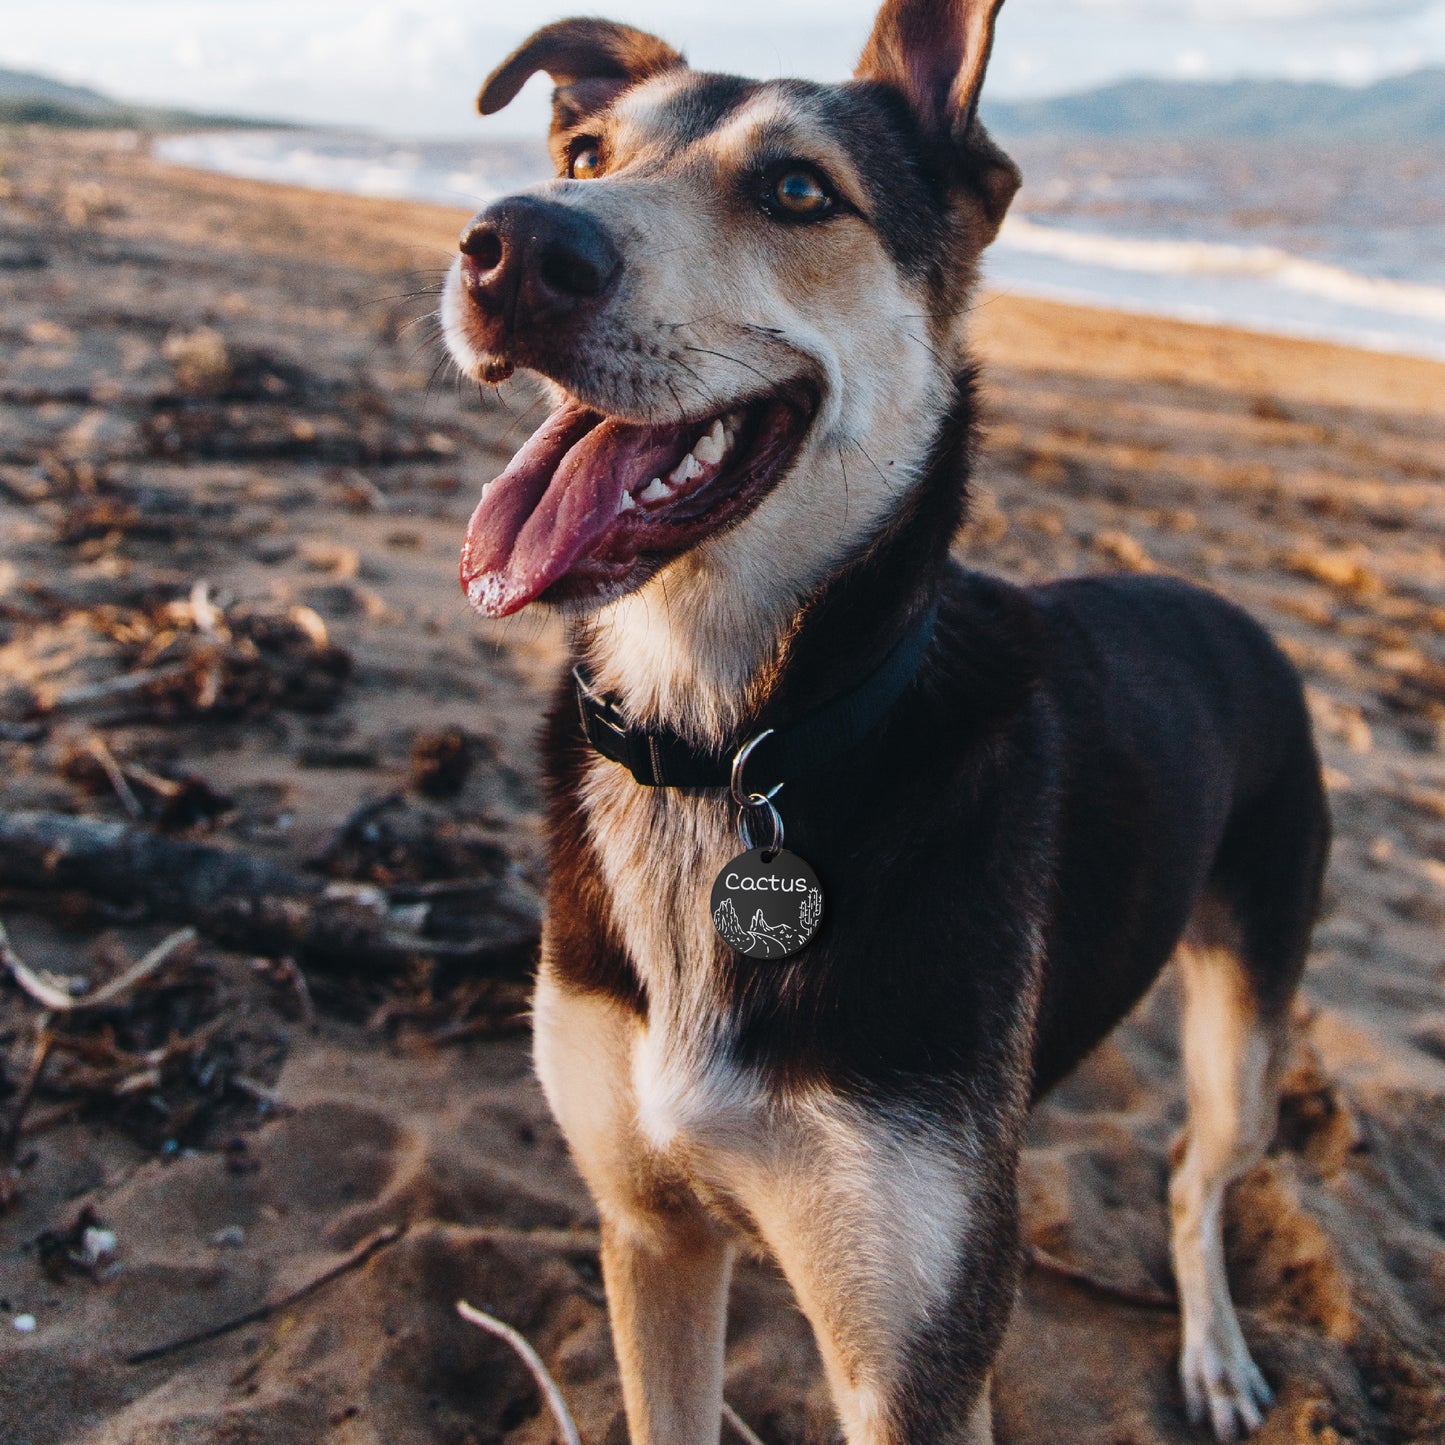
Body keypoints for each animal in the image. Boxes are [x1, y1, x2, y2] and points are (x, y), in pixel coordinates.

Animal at [439, 5, 1329, 1439]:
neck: (729, 745)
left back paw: (1212, 1350)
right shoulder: (649, 1233)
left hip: (1249, 1011)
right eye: (581, 156)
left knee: (1198, 1172)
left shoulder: (911, 1363)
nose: (512, 246)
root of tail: (1240, 617)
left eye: (800, 192)